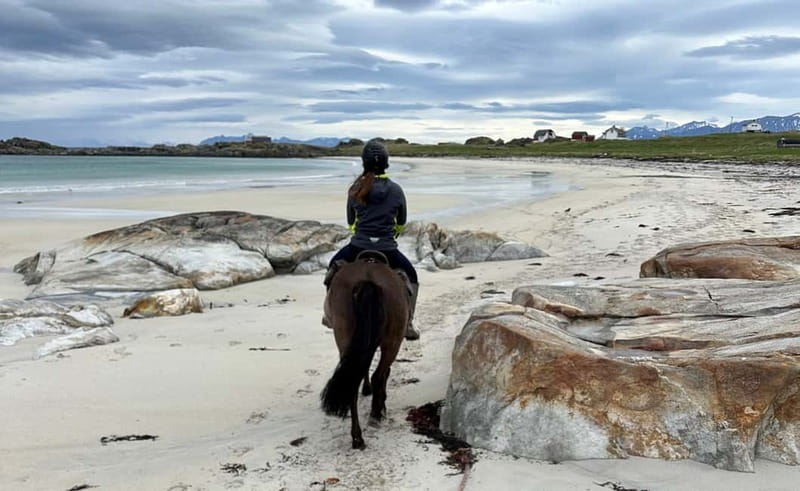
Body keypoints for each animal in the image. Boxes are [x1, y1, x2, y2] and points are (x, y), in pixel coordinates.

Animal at [320, 251, 411, 449]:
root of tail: (368, 279)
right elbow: (382, 373)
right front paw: (380, 403)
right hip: (393, 342)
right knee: (379, 374)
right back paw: (376, 414)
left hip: (345, 336)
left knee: (351, 383)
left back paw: (357, 437)